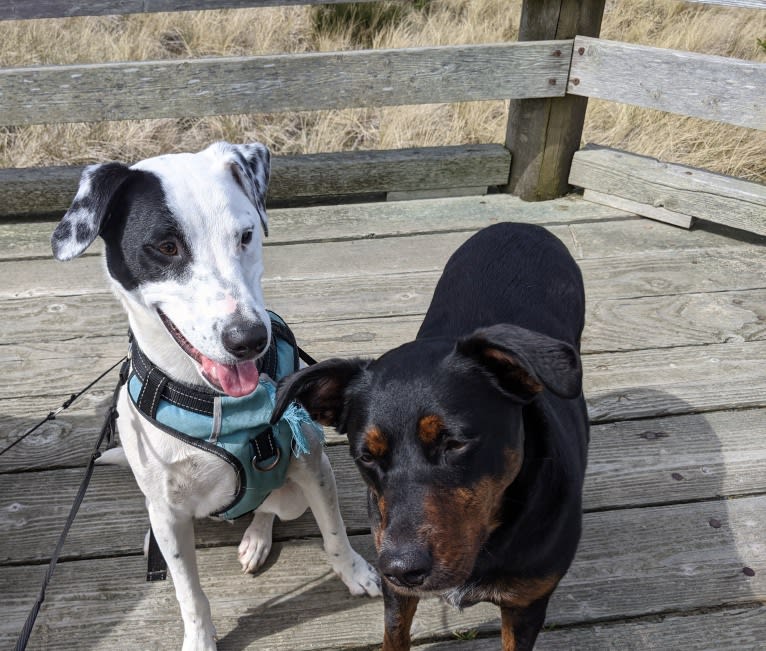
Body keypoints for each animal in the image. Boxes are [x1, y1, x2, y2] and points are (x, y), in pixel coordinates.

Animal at [51, 144, 380, 651]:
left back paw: (256, 537)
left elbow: (335, 533)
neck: (214, 401)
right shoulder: (168, 512)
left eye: (245, 236)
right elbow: (189, 591)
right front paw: (200, 637)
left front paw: (356, 572)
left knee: (266, 508)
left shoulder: (314, 466)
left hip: (290, 495)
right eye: (167, 247)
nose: (249, 339)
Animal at [272, 224, 592, 651]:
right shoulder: (395, 590)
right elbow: (394, 637)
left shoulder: (526, 605)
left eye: (454, 443)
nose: (402, 567)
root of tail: (520, 226)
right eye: (366, 456)